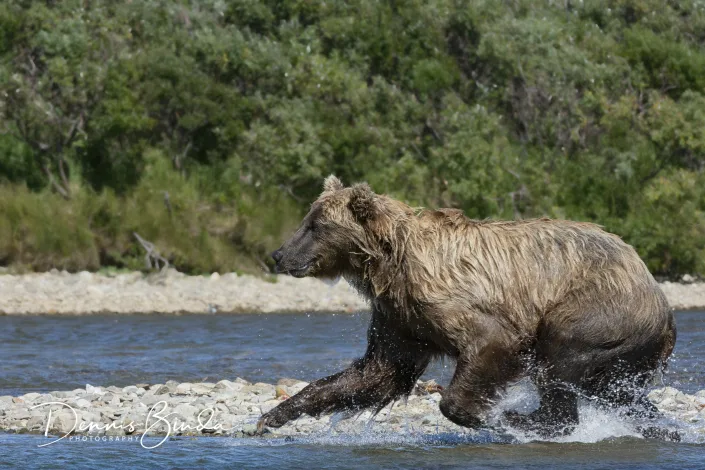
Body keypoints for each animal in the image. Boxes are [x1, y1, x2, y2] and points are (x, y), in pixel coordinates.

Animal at [258, 175, 676, 438]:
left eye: (316, 226)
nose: (279, 255)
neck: (389, 263)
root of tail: (659, 297)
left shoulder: (455, 300)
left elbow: (491, 342)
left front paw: (484, 414)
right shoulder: (401, 317)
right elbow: (376, 372)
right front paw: (272, 416)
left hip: (595, 309)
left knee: (560, 359)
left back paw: (530, 419)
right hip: (624, 348)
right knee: (618, 393)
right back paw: (661, 427)